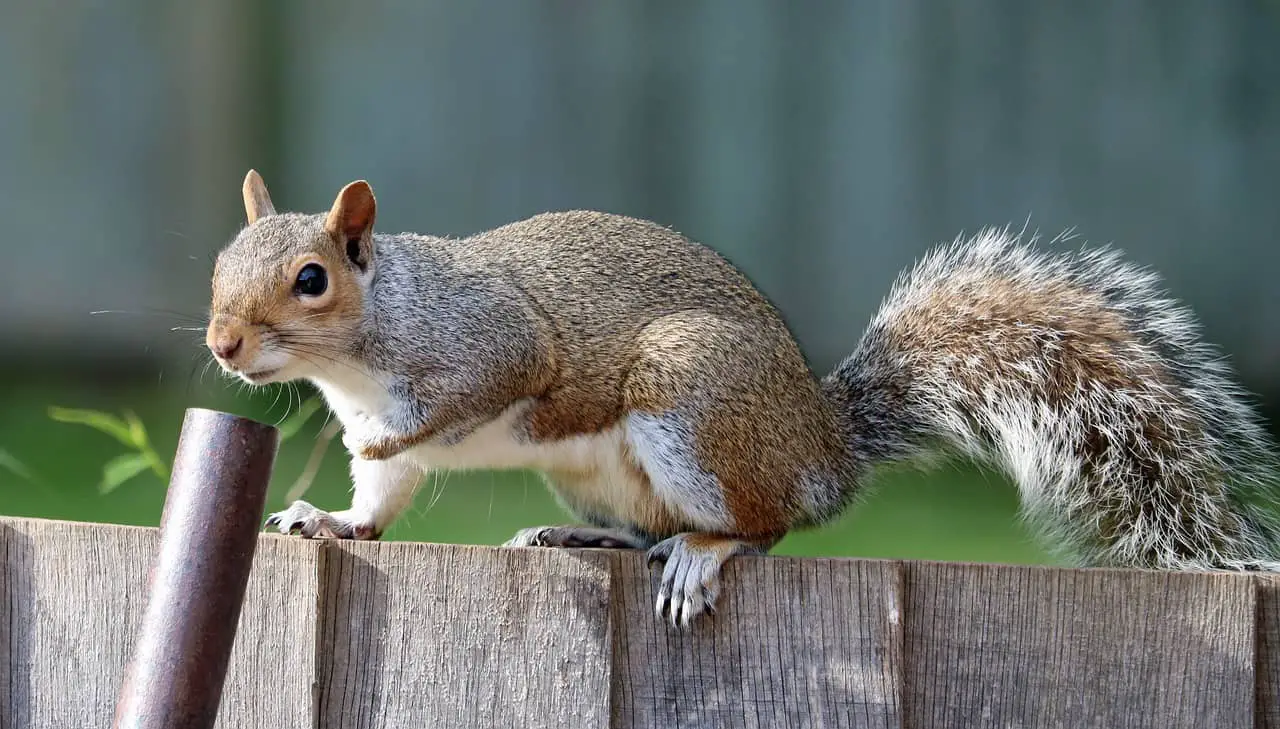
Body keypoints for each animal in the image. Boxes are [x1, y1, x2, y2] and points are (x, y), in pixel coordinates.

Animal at [204, 168, 1280, 624]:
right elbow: (375, 505)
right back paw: (591, 537)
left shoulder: (496, 348)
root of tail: (822, 448)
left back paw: (704, 553)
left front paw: (395, 444)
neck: (358, 358)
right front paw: (328, 517)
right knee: (647, 526)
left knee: (762, 527)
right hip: (617, 471)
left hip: (693, 401)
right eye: (219, 263)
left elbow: (477, 398)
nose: (222, 344)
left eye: (311, 279)